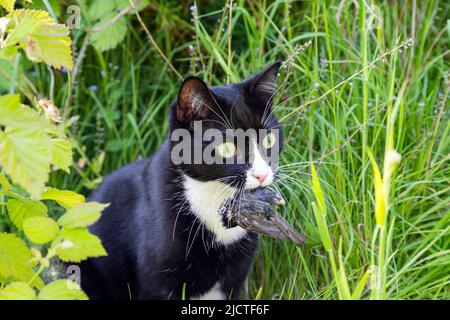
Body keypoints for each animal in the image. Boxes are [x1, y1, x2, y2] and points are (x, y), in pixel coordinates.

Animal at [80, 61, 284, 298]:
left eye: (268, 139)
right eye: (227, 147)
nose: (262, 174)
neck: (214, 196)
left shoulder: (237, 278)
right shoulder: (157, 283)